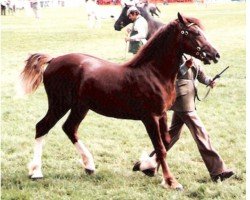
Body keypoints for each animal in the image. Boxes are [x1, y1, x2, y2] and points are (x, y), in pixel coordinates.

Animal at [22, 13, 221, 190]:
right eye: (195, 33)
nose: (215, 54)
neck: (153, 73)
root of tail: (53, 60)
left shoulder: (162, 114)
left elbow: (166, 141)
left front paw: (145, 166)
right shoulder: (150, 118)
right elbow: (160, 147)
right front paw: (171, 182)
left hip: (80, 107)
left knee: (69, 128)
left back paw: (89, 166)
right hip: (59, 104)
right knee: (42, 127)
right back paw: (36, 172)